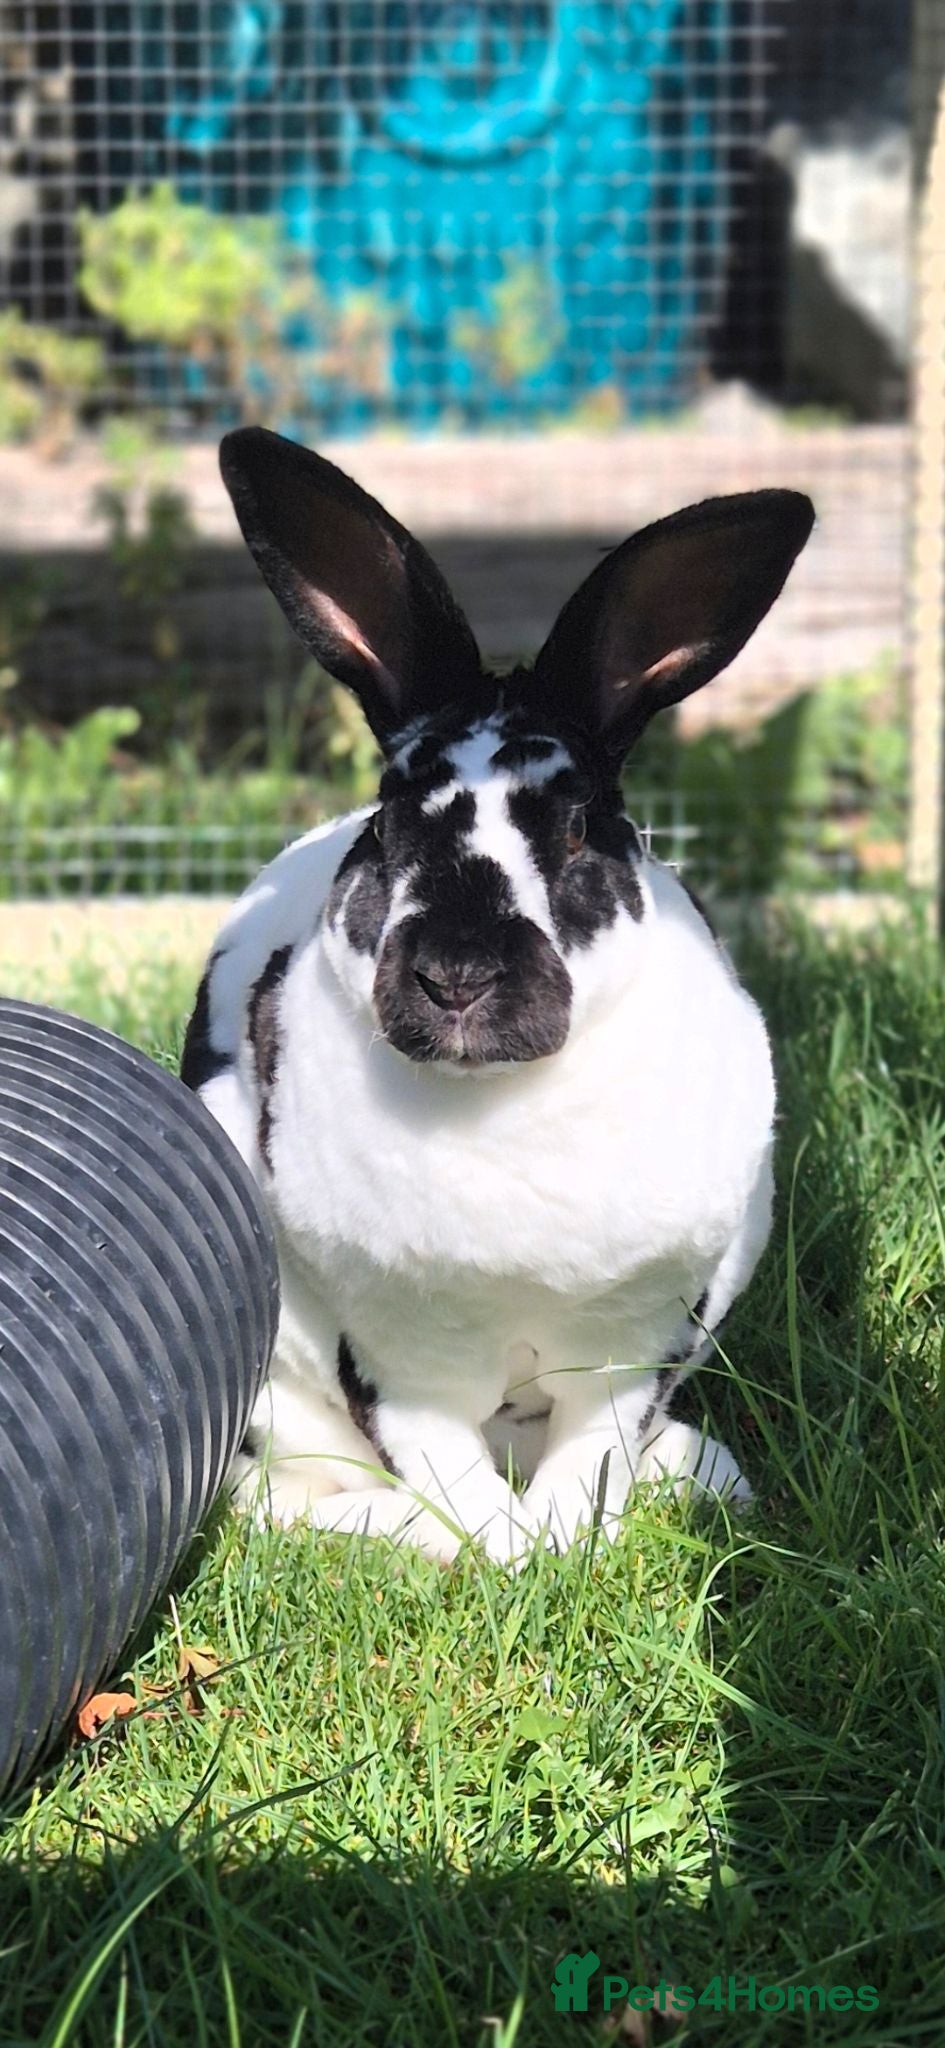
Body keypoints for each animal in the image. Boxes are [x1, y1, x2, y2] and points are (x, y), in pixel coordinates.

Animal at [182, 425, 814, 1563]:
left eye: (576, 830)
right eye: (387, 824)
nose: (458, 976)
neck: (498, 1101)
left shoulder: (631, 1337)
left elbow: (592, 1450)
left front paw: (563, 1540)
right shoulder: (393, 1350)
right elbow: (439, 1459)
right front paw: (502, 1554)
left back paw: (704, 1477)